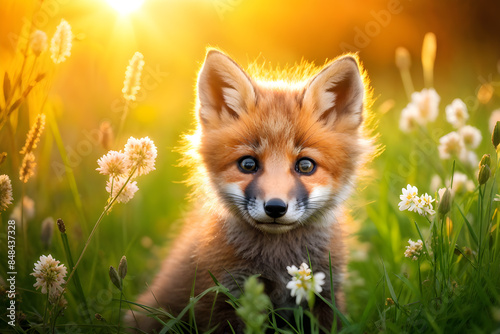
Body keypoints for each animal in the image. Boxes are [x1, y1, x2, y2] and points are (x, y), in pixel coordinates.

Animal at [127, 48, 374, 332]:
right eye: (248, 164)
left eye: (305, 165)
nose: (275, 207)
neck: (279, 263)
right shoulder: (223, 297)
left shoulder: (324, 292)